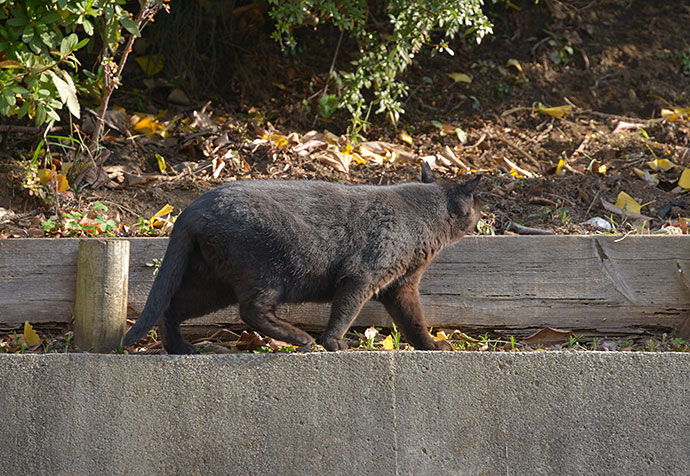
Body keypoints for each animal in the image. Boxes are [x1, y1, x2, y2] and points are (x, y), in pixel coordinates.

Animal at [123, 164, 478, 354]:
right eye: (475, 206)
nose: (480, 217)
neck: (420, 218)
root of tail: (191, 209)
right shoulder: (361, 277)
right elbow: (345, 312)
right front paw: (333, 343)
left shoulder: (401, 287)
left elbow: (413, 321)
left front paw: (431, 346)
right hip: (265, 271)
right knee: (252, 310)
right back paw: (301, 338)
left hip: (214, 283)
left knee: (171, 308)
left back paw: (180, 348)